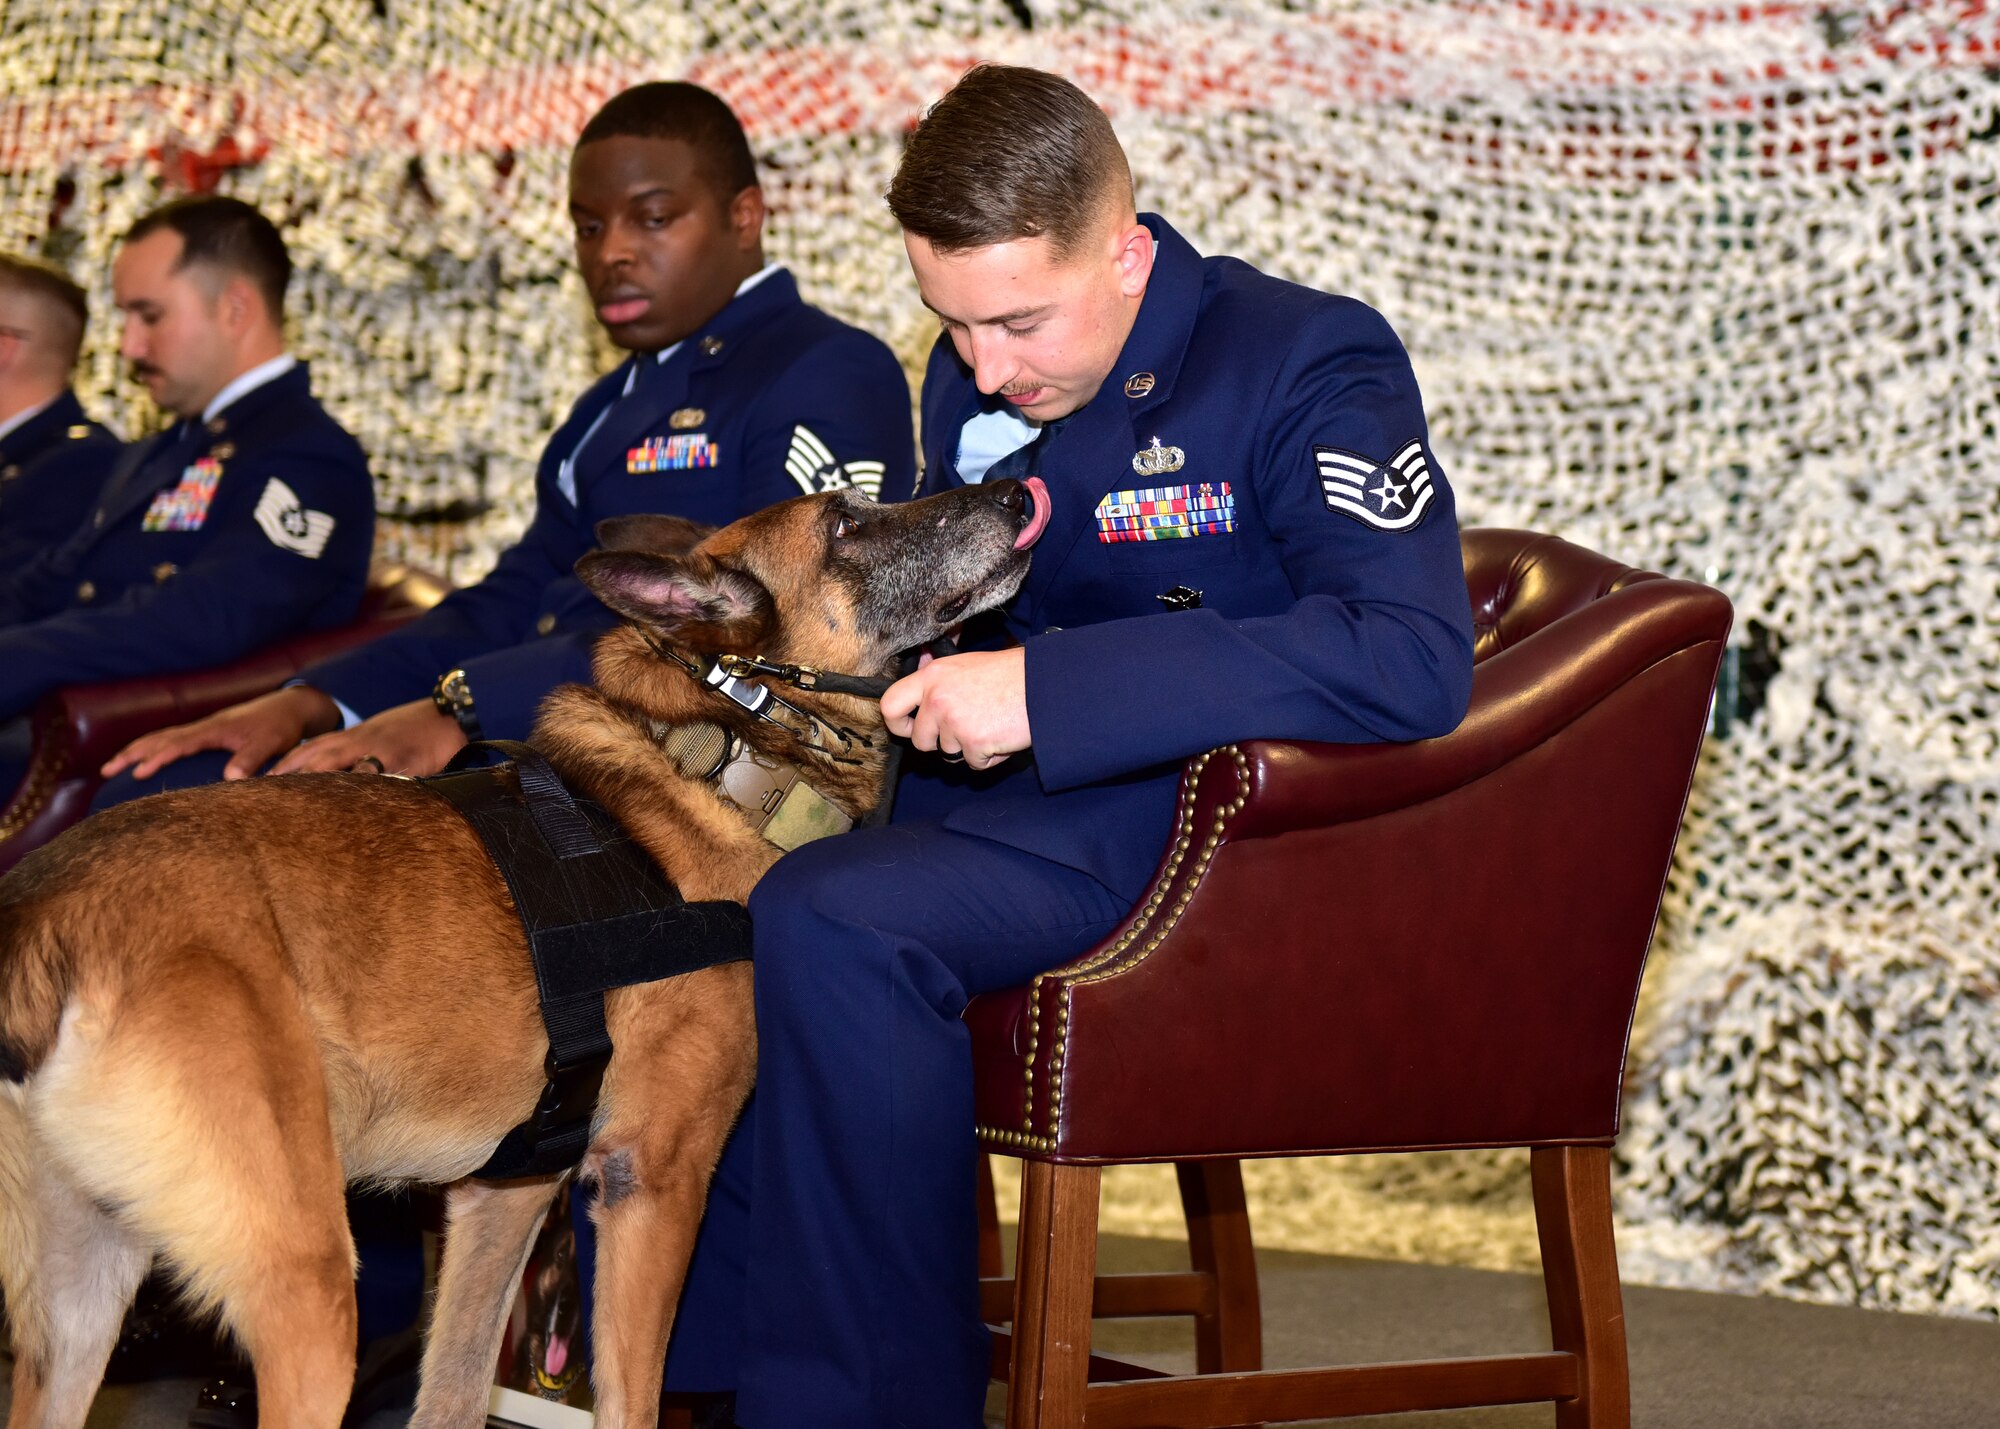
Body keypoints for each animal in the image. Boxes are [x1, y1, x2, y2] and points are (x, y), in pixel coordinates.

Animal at [0, 478, 1056, 1424]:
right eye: (844, 523)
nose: (1017, 489)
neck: (719, 760)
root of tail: (41, 912)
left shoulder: (502, 1194)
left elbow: (453, 1394)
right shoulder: (652, 1179)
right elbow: (633, 1400)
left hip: (82, 1304)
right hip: (307, 1287)